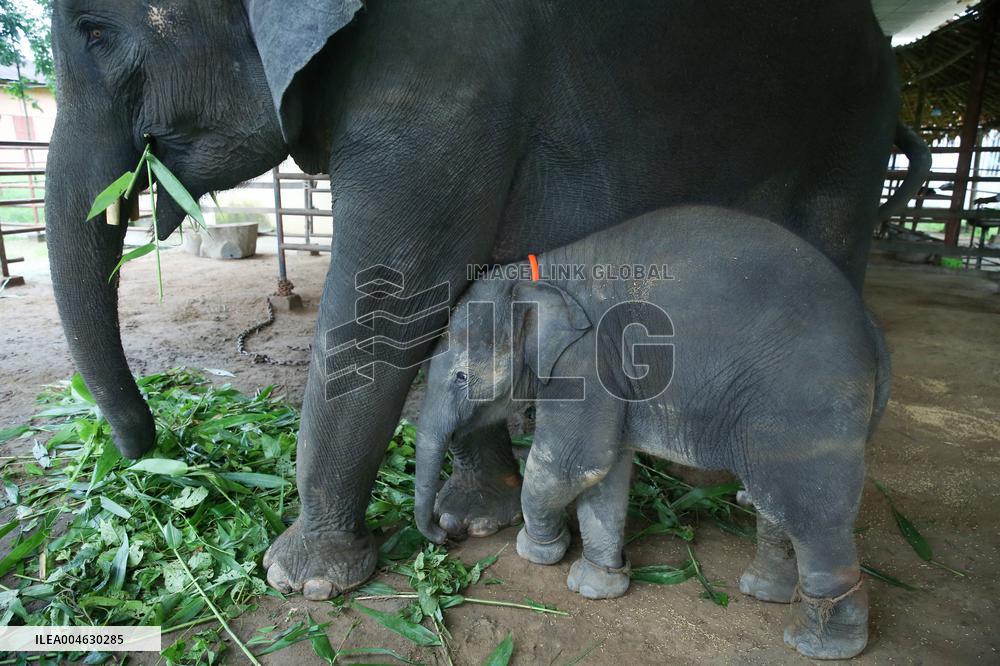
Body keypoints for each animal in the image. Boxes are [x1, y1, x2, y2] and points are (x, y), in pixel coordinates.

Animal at [44, 0, 927, 601]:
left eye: (94, 32)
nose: (155, 453)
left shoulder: (440, 87)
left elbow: (389, 303)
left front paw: (306, 582)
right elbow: (456, 289)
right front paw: (477, 520)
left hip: (848, 129)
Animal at [413, 206, 889, 660]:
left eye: (460, 377)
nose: (444, 537)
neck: (541, 272)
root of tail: (871, 326)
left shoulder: (586, 361)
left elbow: (572, 463)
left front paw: (537, 551)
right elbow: (604, 473)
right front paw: (595, 586)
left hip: (804, 401)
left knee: (807, 512)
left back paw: (819, 645)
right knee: (774, 499)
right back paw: (764, 591)